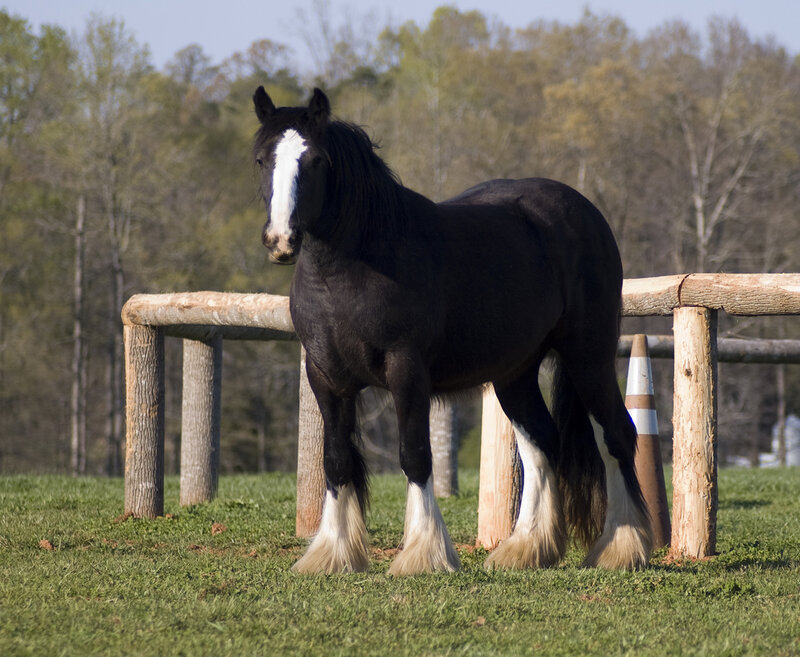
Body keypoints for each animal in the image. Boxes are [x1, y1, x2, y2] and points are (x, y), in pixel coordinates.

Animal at [252, 86, 652, 575]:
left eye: (315, 161)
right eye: (262, 159)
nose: (281, 240)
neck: (352, 269)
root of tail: (585, 211)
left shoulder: (407, 373)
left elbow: (415, 454)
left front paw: (424, 554)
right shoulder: (326, 378)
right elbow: (337, 459)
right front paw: (332, 553)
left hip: (587, 355)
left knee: (616, 435)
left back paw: (621, 548)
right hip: (515, 374)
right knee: (542, 444)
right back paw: (526, 548)